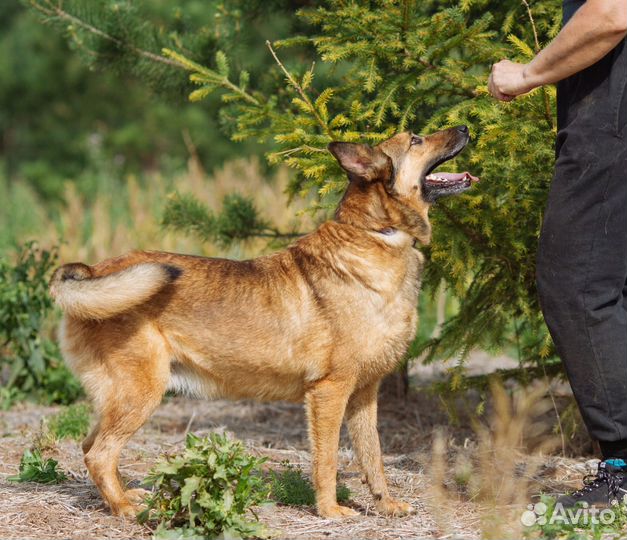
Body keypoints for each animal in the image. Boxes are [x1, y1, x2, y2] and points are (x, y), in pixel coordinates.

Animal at [51, 126, 478, 520]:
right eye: (416, 140)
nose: (465, 127)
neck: (378, 235)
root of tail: (93, 271)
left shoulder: (364, 395)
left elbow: (372, 458)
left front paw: (385, 504)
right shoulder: (329, 393)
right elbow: (327, 462)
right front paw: (330, 511)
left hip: (121, 399)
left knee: (90, 447)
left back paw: (124, 498)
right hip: (141, 393)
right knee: (99, 454)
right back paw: (126, 508)